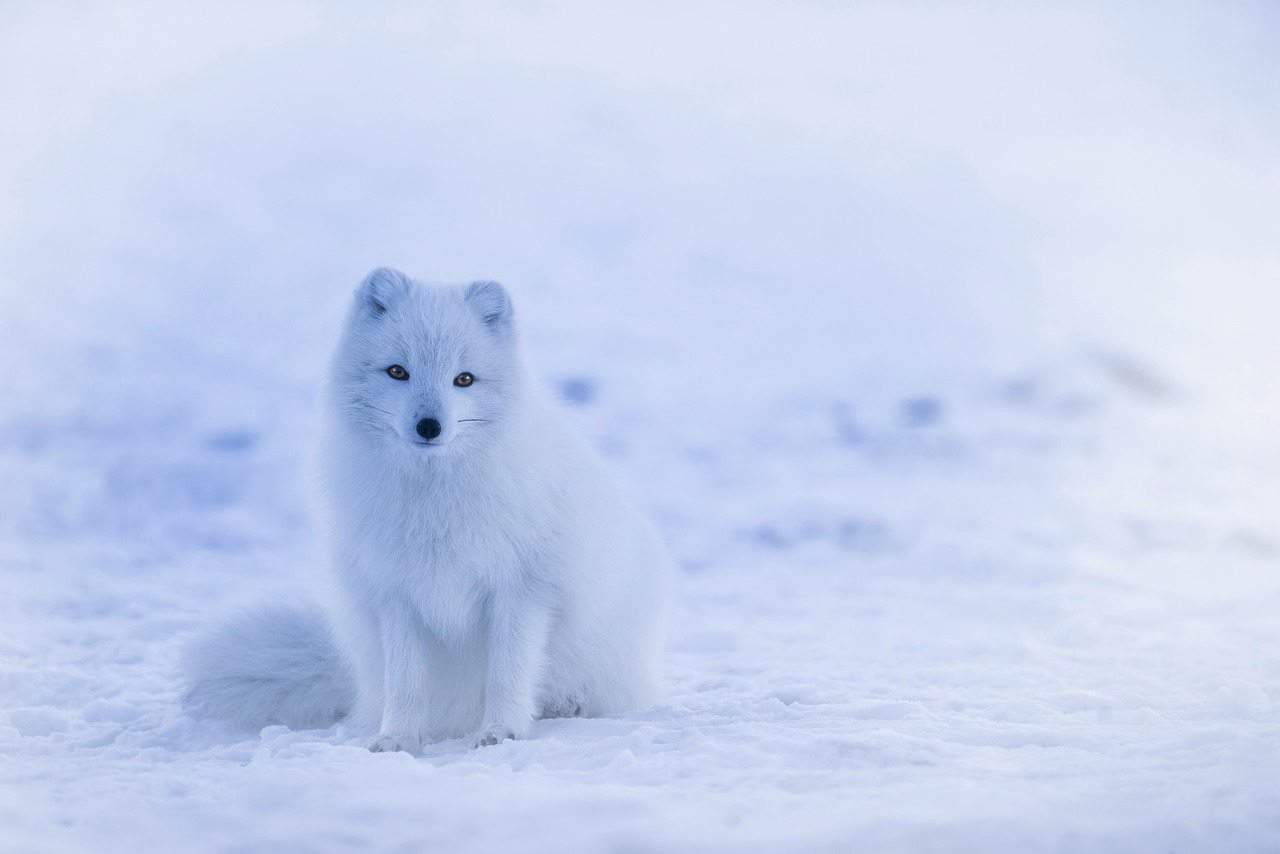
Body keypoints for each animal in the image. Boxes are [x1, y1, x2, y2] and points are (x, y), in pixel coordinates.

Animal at [186, 270, 680, 752]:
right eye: (397, 371)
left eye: (464, 379)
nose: (429, 426)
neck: (435, 498)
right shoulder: (396, 593)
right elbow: (406, 682)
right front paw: (398, 738)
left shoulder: (522, 589)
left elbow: (508, 673)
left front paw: (501, 732)